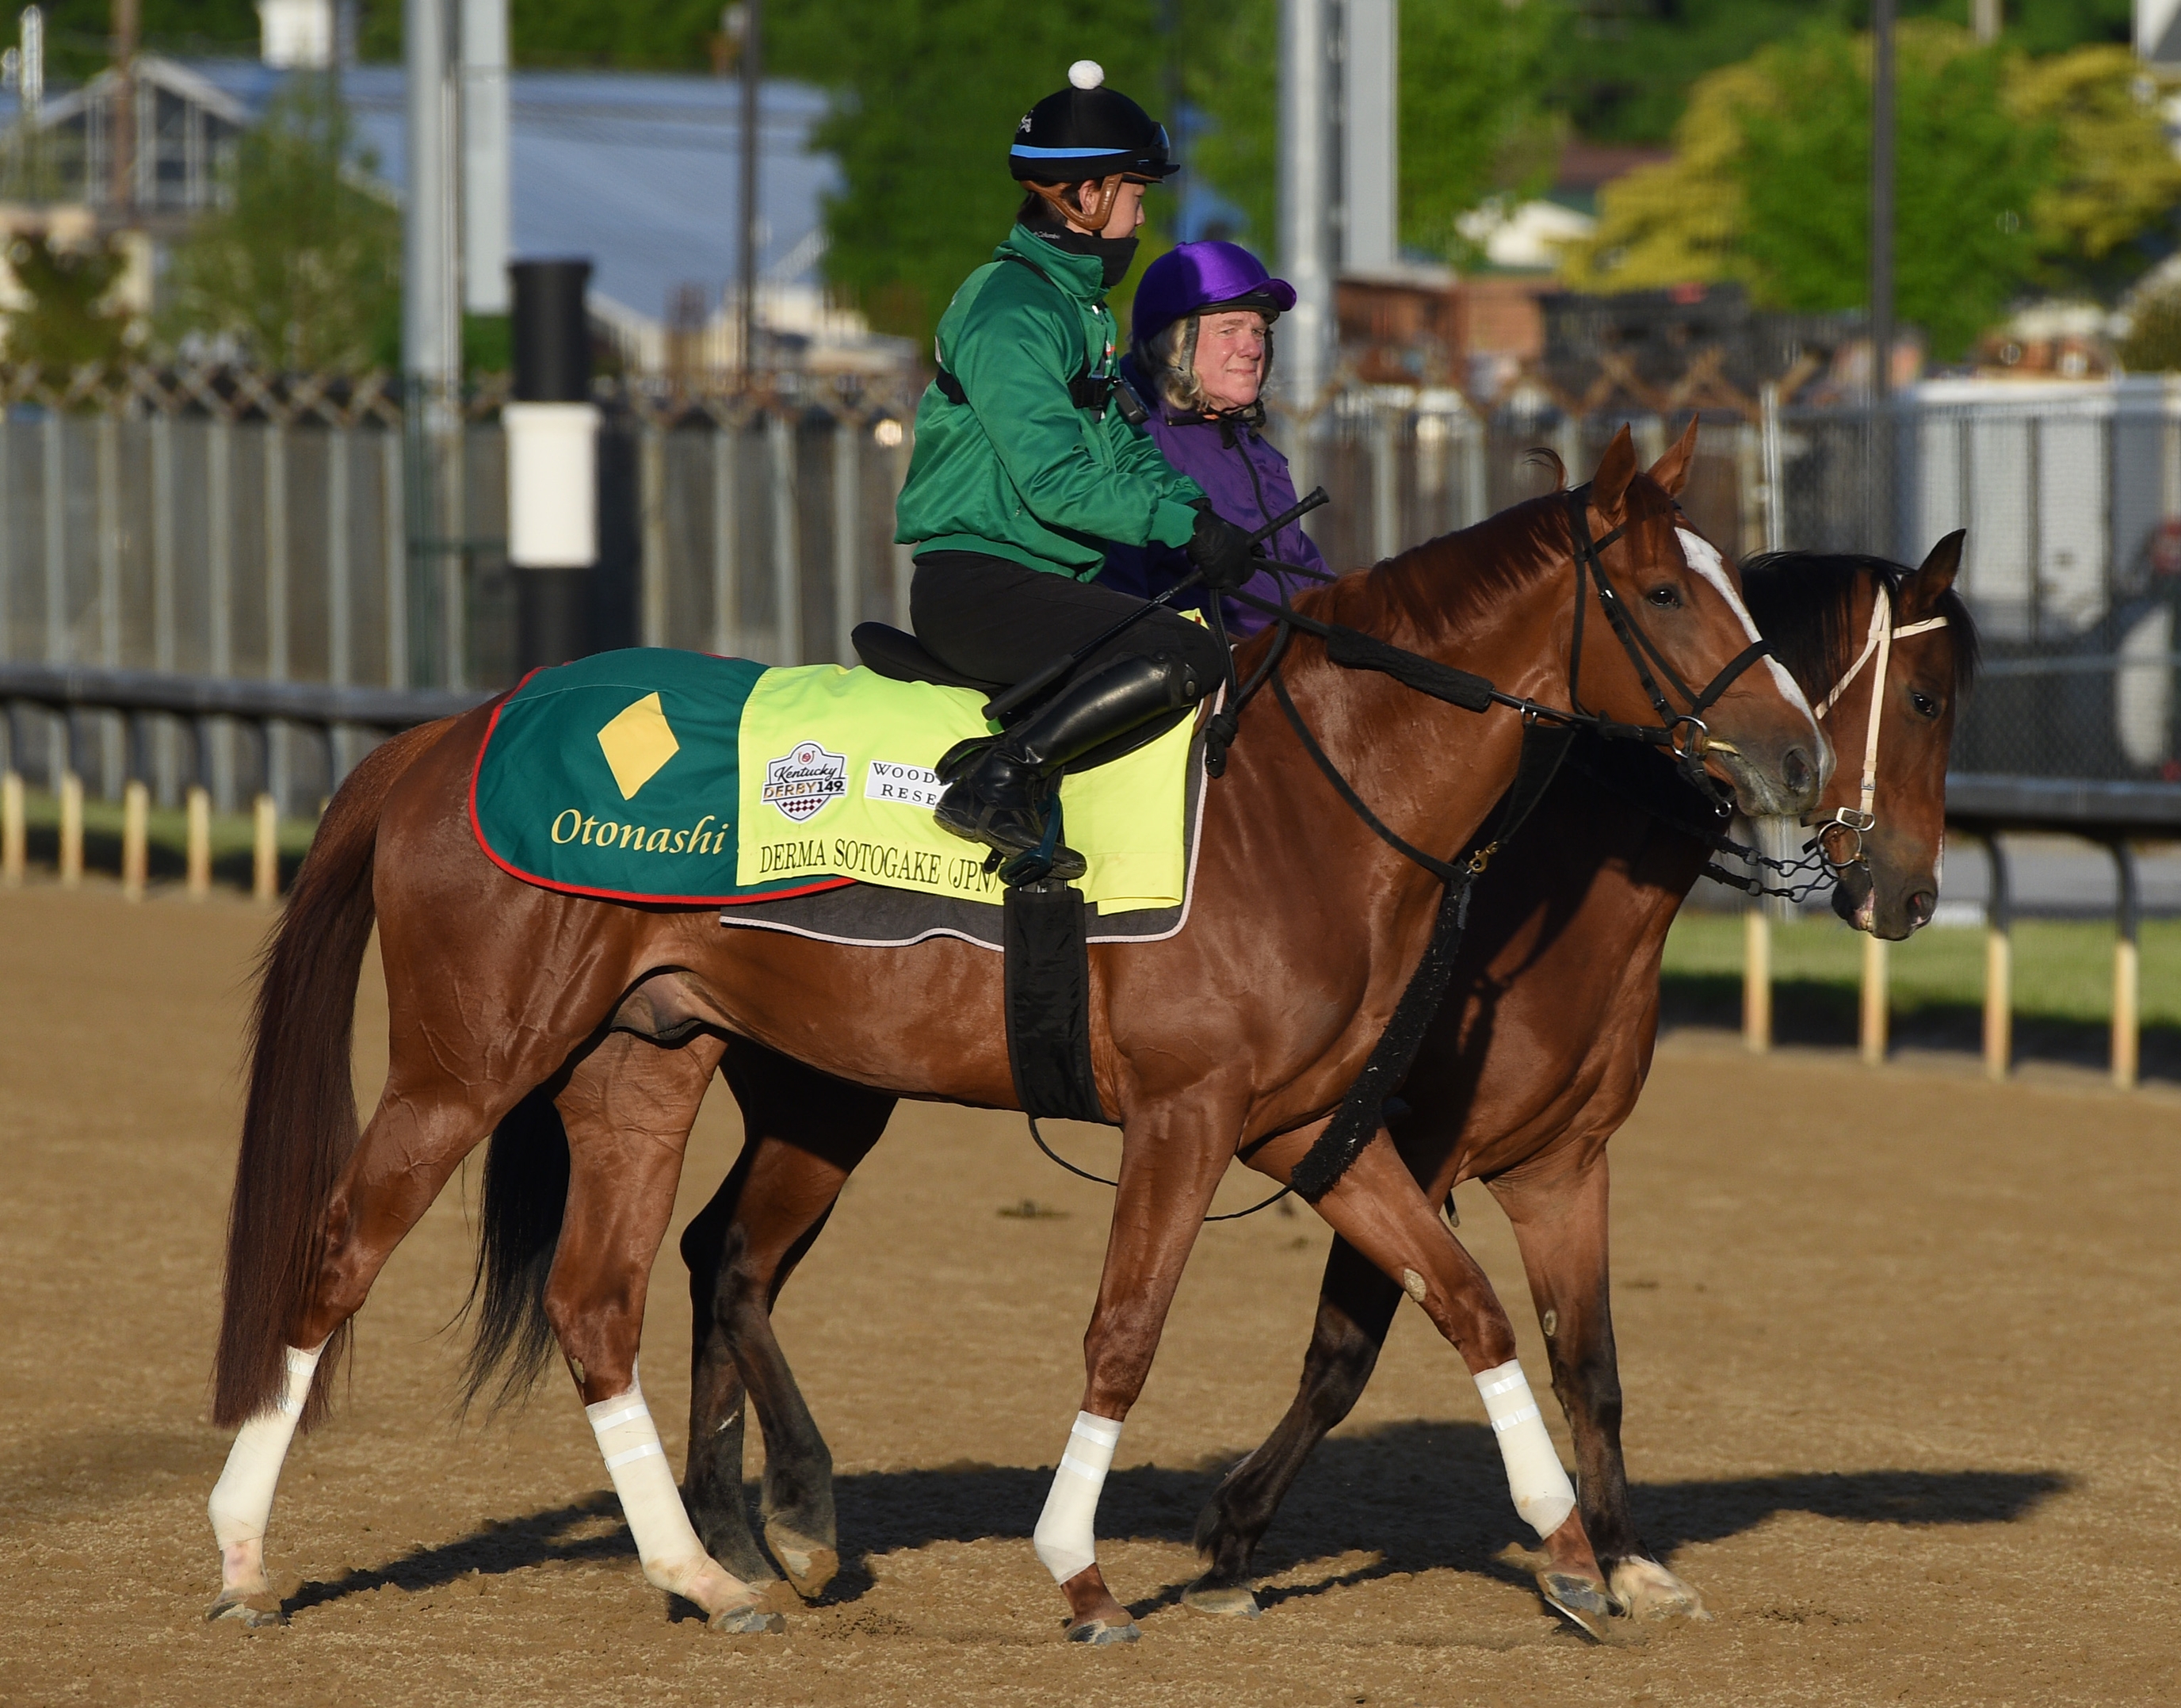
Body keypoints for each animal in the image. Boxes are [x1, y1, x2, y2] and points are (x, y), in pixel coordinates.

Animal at [208, 421, 1823, 1640]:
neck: (1309, 798)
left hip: (645, 1070)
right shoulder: (1187, 1118)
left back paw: (706, 1570)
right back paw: (242, 1552)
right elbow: (1125, 1332)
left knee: (603, 1302)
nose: (1799, 757)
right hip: (467, 1068)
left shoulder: (1311, 1128)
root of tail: (453, 733)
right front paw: (1081, 1569)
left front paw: (1571, 1553)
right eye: (1664, 597)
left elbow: (1469, 1305)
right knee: (338, 1256)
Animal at [654, 529, 1971, 1631]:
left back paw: (732, 1529)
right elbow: (1350, 1345)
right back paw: (784, 1518)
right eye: (1923, 696)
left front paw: (1626, 1557)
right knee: (738, 1262)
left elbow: (1586, 1363)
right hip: (831, 1088)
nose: (1910, 893)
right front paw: (1232, 1534)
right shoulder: (1396, 1142)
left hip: (809, 1081)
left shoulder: (1558, 1164)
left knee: (718, 1255)